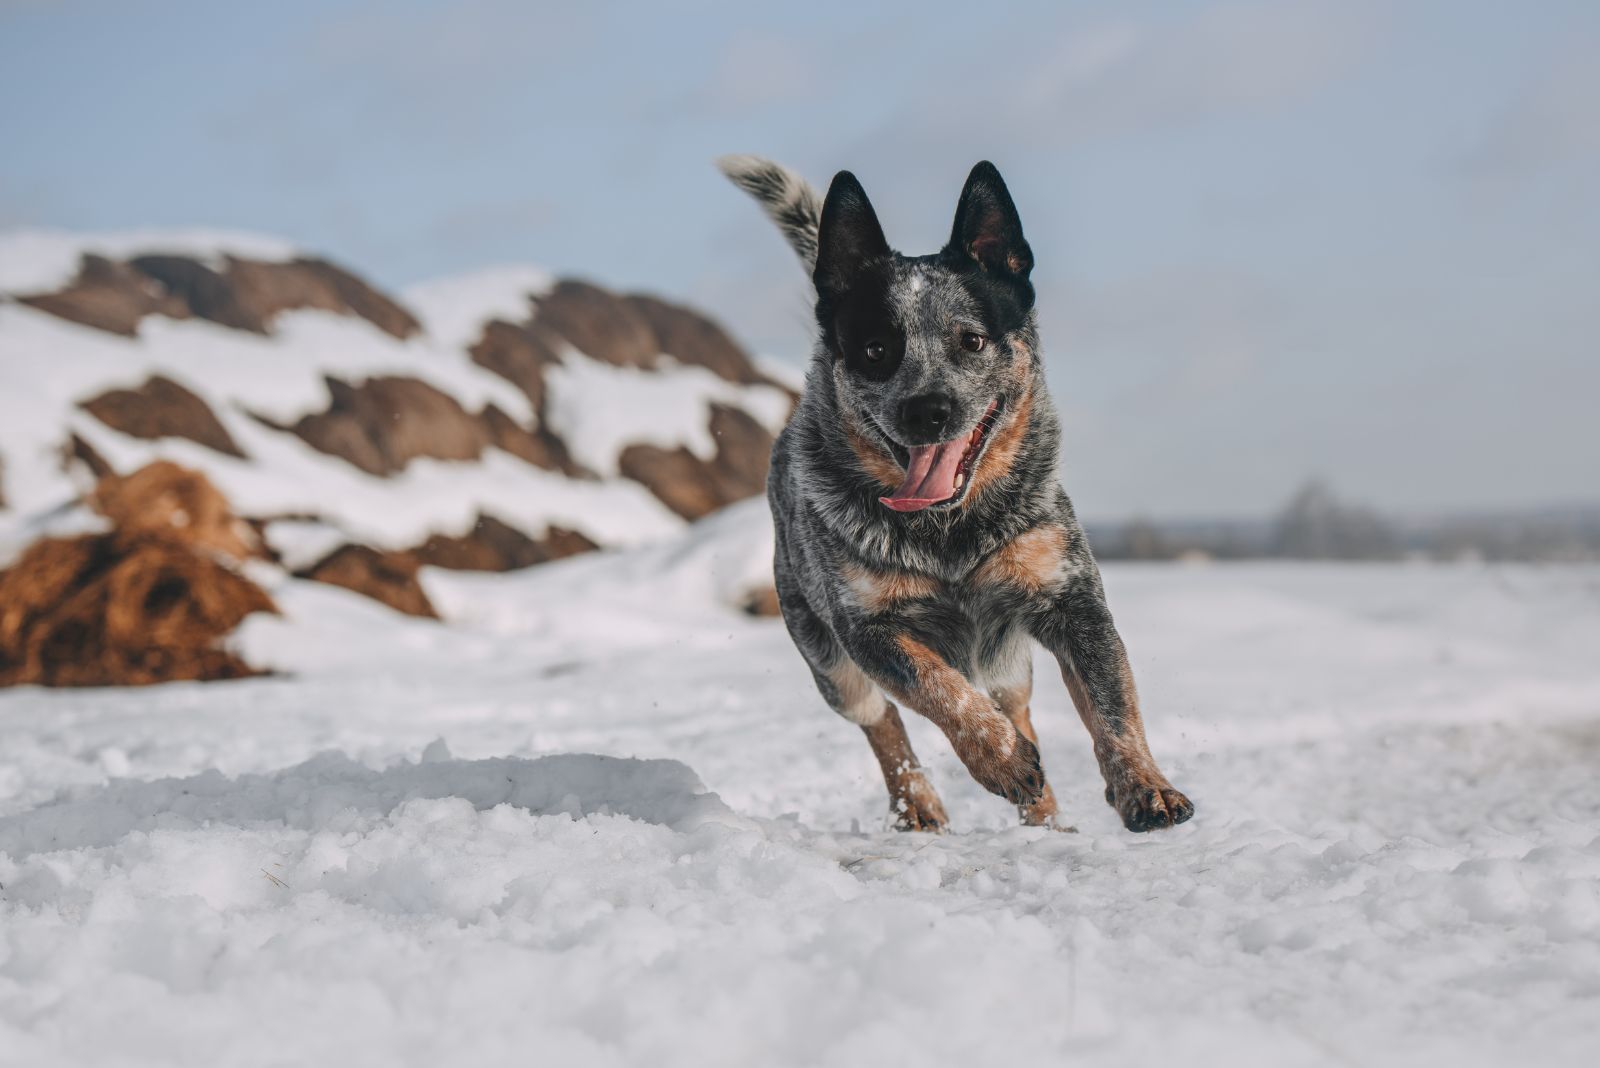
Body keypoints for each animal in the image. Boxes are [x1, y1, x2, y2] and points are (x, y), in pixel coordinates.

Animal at [720, 154, 1196, 831]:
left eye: (971, 339)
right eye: (876, 349)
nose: (927, 409)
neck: (950, 531)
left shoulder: (1070, 599)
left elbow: (1111, 703)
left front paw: (1144, 786)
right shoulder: (869, 628)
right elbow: (941, 690)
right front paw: (999, 759)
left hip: (1006, 658)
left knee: (1016, 706)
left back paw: (1045, 819)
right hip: (826, 656)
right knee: (882, 721)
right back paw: (919, 803)